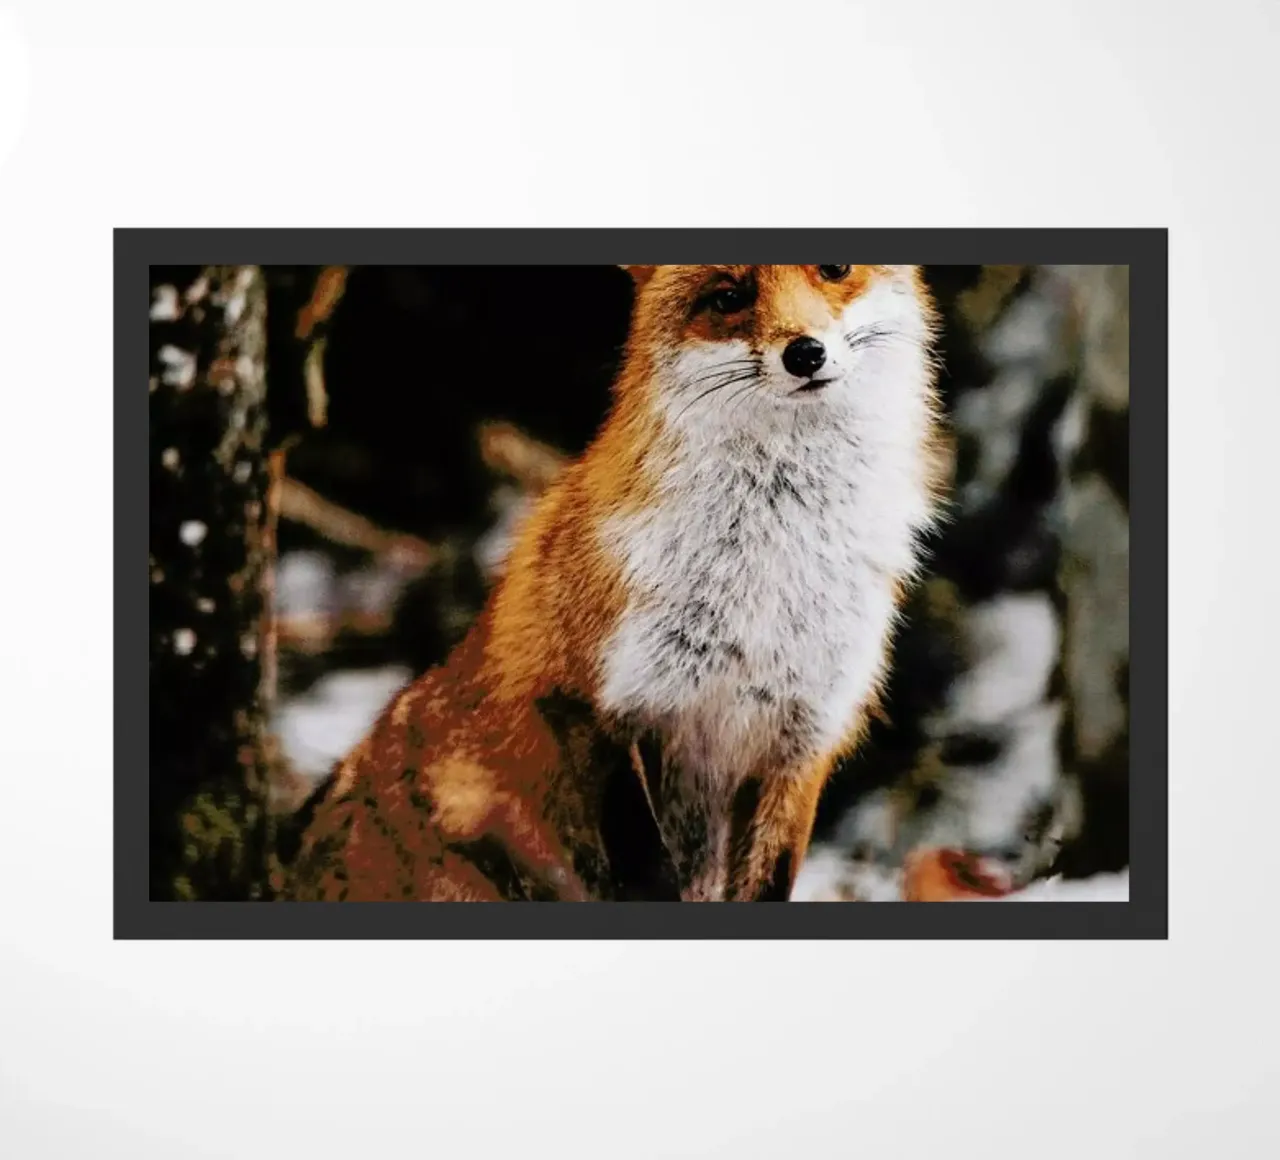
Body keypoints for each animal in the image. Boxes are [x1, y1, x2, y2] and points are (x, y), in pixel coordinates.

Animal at [282, 264, 947, 902]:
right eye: (728, 297)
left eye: (834, 269)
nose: (806, 353)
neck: (764, 582)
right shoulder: (598, 706)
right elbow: (646, 880)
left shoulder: (801, 738)